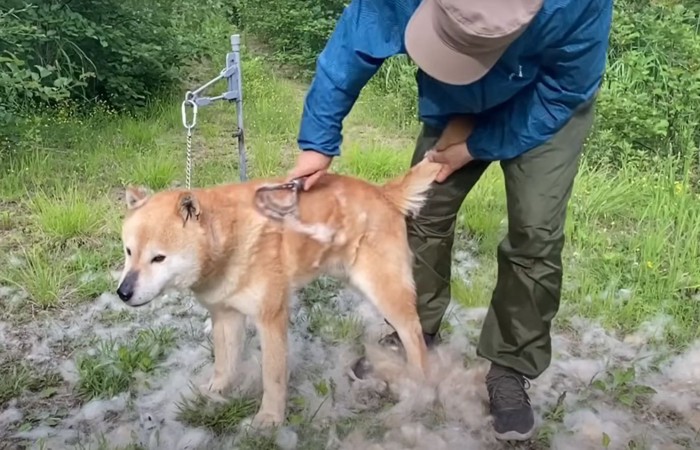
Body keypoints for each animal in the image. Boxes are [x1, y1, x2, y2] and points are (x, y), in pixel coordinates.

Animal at [115, 158, 442, 428]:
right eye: (129, 252)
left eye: (158, 258)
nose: (123, 292)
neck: (231, 239)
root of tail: (383, 192)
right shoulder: (226, 316)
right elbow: (224, 364)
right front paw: (214, 393)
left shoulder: (270, 319)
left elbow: (272, 378)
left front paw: (270, 419)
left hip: (385, 291)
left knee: (413, 333)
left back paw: (419, 386)